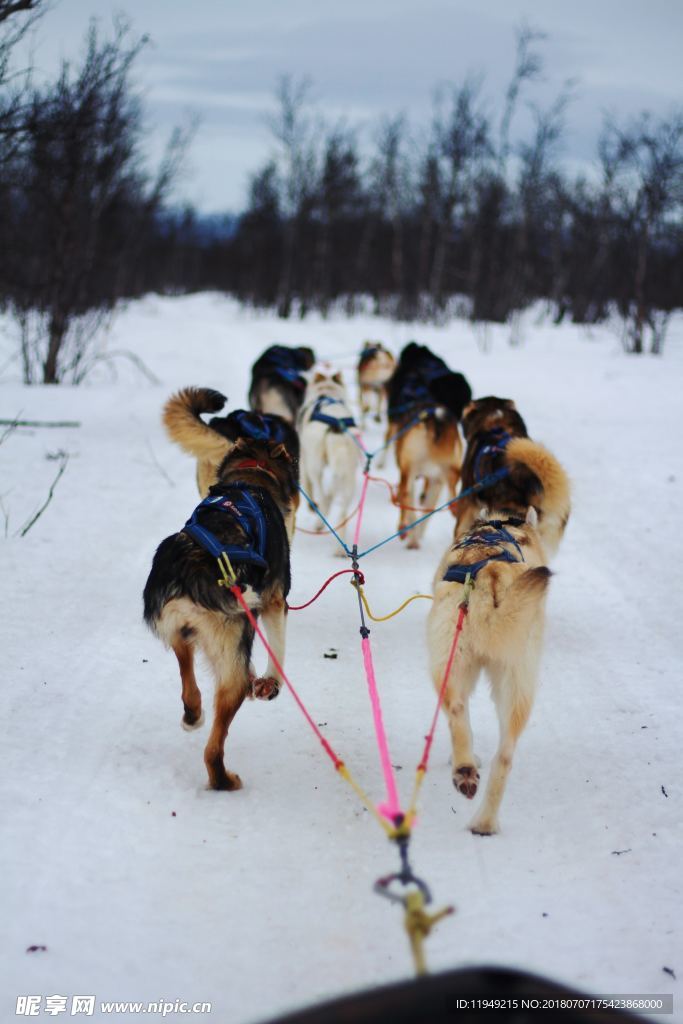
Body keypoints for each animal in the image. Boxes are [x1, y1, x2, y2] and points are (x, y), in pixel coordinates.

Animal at [144, 438, 296, 790]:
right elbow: (278, 647)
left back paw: (192, 714)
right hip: (232, 667)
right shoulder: (274, 600)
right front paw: (271, 682)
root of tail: (194, 569)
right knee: (212, 749)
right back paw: (223, 781)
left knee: (188, 680)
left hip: (180, 633)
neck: (252, 477)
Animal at [430, 436, 569, 835]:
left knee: (457, 711)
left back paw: (464, 768)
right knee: (504, 757)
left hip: (448, 664)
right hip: (516, 684)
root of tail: (491, 577)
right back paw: (484, 820)